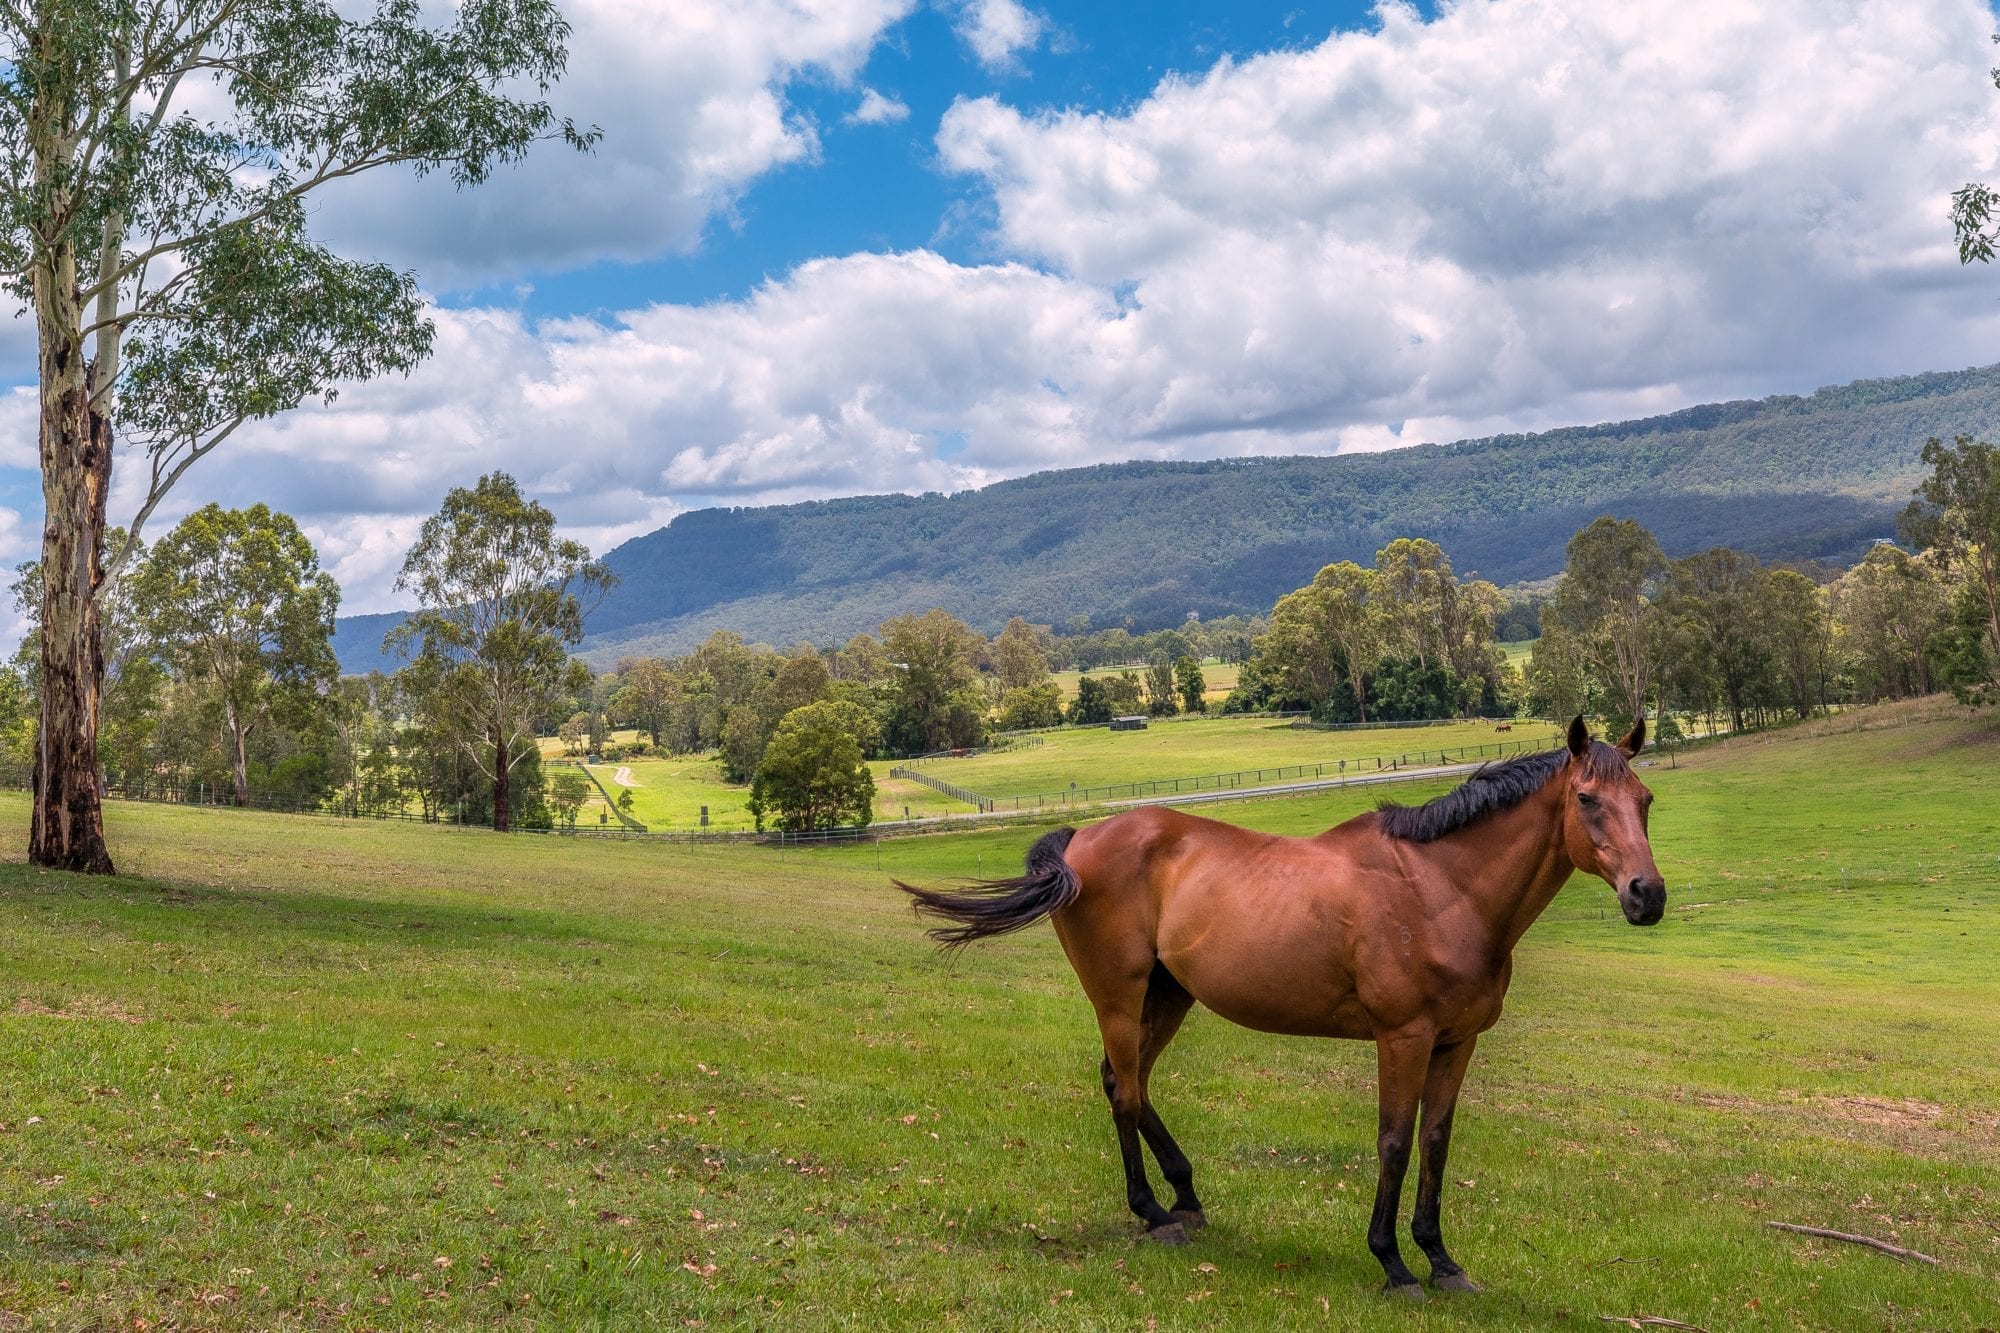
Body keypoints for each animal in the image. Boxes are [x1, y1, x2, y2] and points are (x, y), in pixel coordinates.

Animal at [896, 715, 1664, 1299]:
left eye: (1647, 800)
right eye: (1588, 799)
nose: (1646, 894)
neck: (1440, 888)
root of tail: (1083, 838)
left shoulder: (1455, 1041)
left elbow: (1436, 1142)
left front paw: (1441, 1260)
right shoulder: (1404, 1037)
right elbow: (1394, 1141)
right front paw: (1392, 1262)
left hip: (1167, 997)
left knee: (1127, 1082)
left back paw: (1185, 1197)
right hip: (1119, 997)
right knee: (1124, 1092)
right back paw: (1154, 1213)